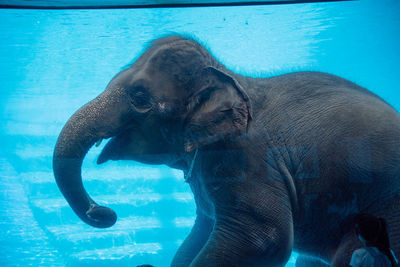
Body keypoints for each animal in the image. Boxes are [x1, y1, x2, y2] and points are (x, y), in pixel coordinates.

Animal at [54, 35, 400, 267]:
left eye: (139, 97)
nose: (103, 212)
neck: (231, 77)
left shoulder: (245, 157)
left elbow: (264, 239)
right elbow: (198, 235)